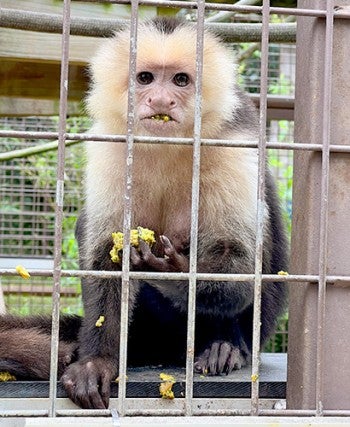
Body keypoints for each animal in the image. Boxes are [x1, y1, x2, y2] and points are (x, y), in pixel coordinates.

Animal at [0, 17, 288, 412]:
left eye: (180, 80)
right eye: (146, 78)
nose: (161, 100)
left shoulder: (233, 140)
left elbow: (240, 263)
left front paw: (169, 271)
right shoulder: (112, 143)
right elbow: (104, 254)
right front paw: (97, 361)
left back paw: (224, 345)